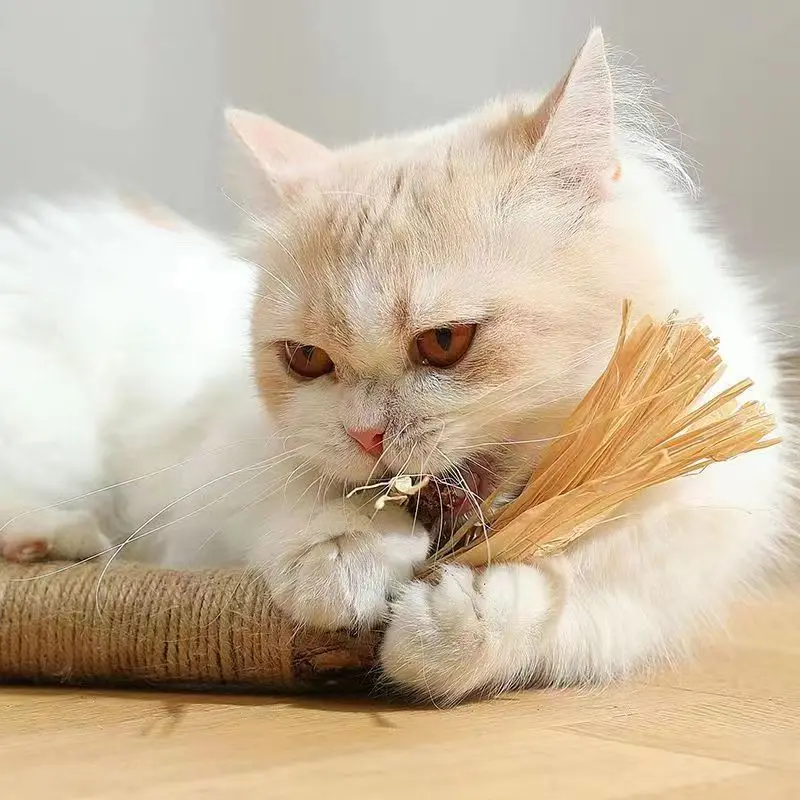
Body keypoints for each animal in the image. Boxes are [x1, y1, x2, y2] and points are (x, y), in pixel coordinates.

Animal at [0, 29, 792, 708]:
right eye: (307, 360)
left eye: (444, 342)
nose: (366, 437)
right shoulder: (208, 477)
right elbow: (289, 492)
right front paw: (346, 553)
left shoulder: (674, 550)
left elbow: (578, 599)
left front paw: (457, 624)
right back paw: (53, 537)